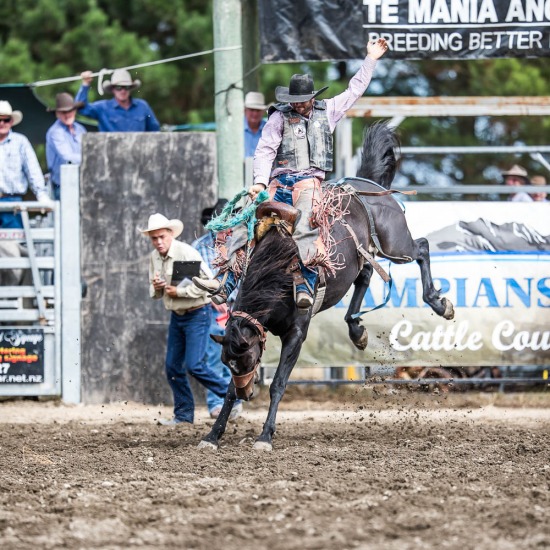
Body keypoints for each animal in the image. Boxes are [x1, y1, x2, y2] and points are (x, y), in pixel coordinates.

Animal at [201, 124, 454, 452]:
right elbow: (228, 392)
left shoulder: (296, 333)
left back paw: (439, 303)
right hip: (364, 253)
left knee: (421, 248)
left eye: (241, 359)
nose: (248, 394)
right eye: (227, 363)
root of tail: (366, 186)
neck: (279, 275)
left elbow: (279, 383)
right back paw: (356, 330)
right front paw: (212, 435)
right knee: (365, 275)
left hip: (396, 245)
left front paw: (265, 436)